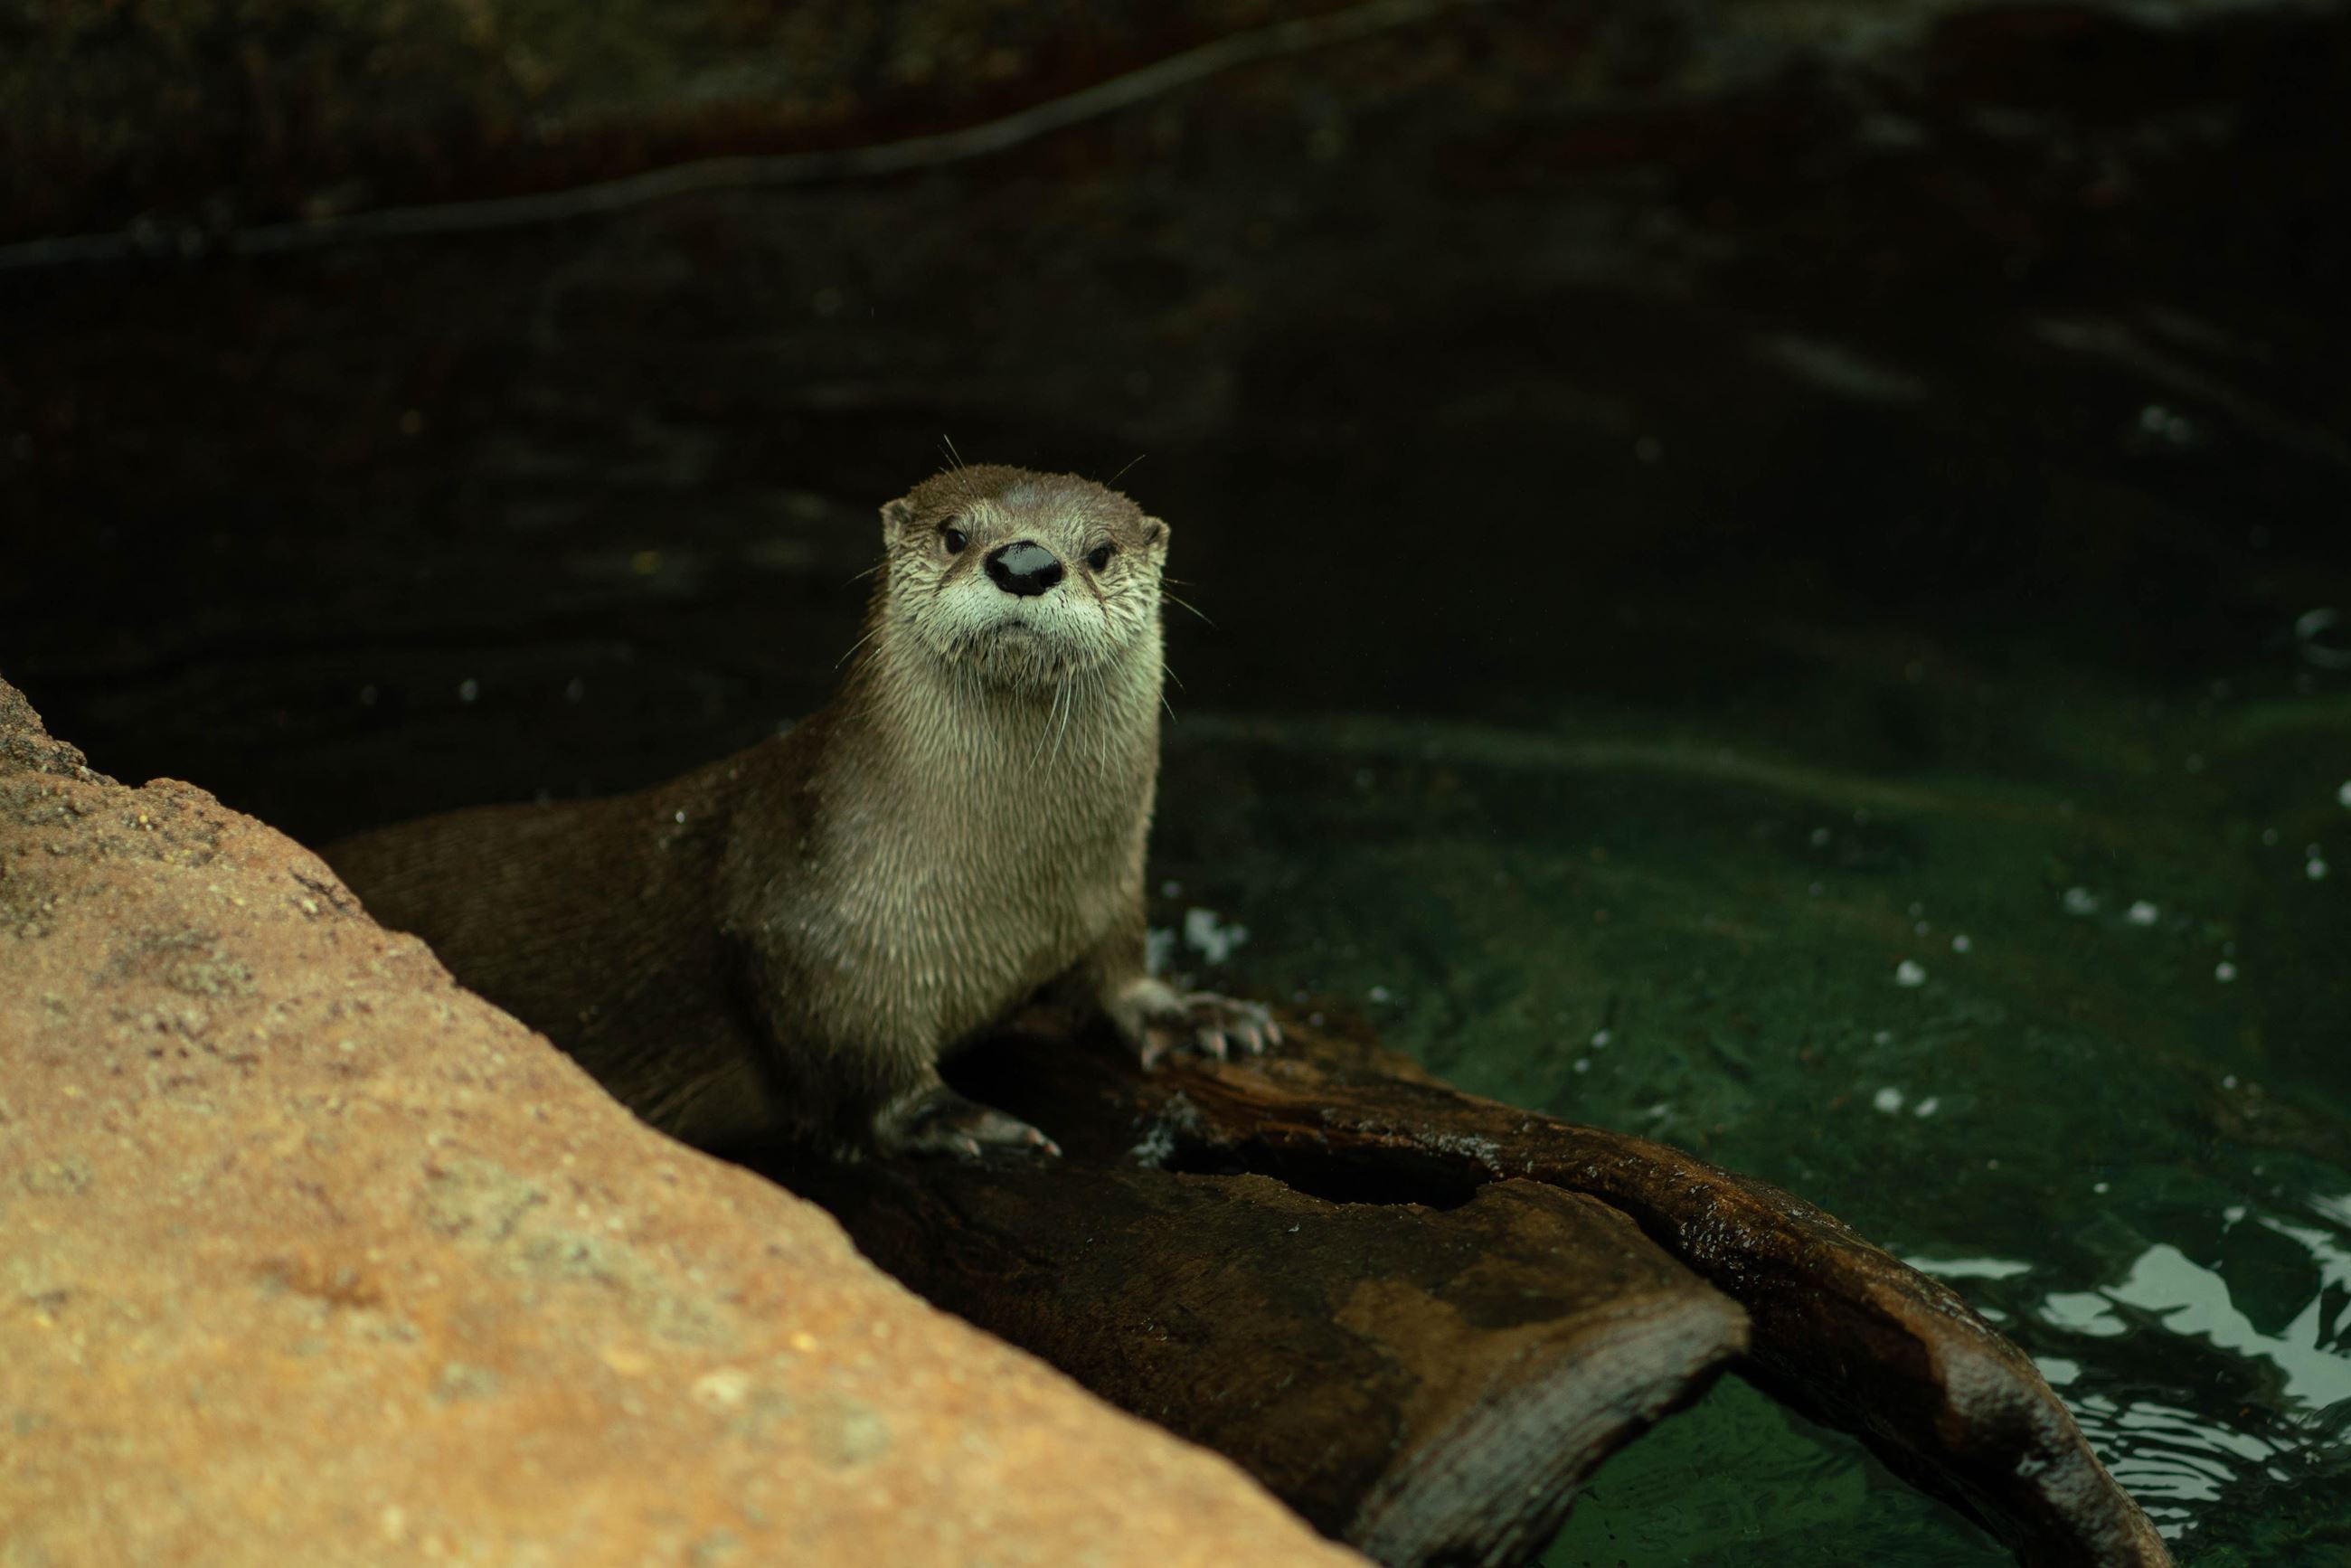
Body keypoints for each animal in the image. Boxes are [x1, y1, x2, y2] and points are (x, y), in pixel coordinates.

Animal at [322, 464, 1276, 1158]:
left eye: (1101, 552)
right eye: (956, 534)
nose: (1026, 562)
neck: (1004, 892)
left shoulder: (1105, 890)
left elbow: (1116, 969)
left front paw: (1190, 1014)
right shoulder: (808, 934)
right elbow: (855, 1066)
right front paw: (949, 1118)